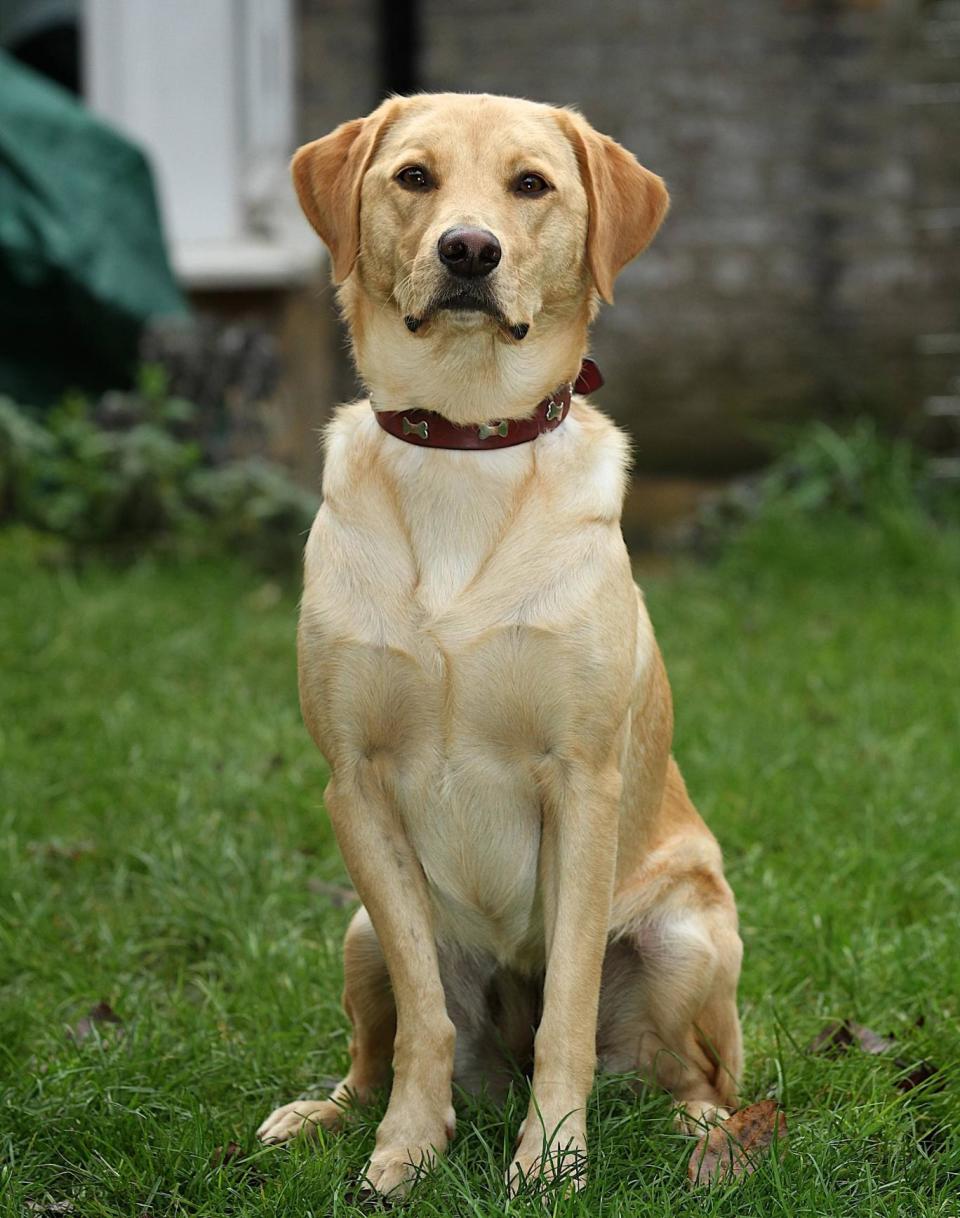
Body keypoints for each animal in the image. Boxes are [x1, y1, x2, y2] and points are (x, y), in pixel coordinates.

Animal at [257, 95, 740, 1198]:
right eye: (414, 177)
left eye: (531, 185)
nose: (469, 250)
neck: (465, 442)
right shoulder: (354, 783)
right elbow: (424, 1026)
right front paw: (403, 1152)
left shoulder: (582, 780)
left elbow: (567, 1007)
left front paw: (553, 1158)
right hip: (357, 933)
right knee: (376, 1049)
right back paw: (320, 1114)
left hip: (691, 937)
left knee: (686, 1070)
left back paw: (703, 1134)